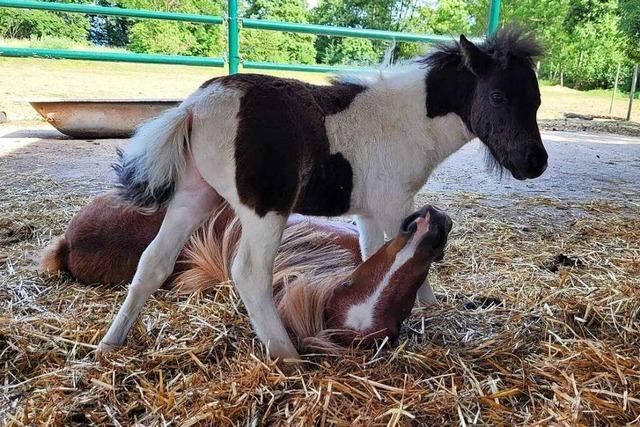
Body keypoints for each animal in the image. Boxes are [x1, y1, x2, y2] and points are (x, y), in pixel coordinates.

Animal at [102, 28, 548, 360]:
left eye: (538, 100)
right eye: (498, 96)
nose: (535, 163)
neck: (409, 120)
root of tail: (193, 107)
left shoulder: (368, 213)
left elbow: (375, 259)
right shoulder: (395, 207)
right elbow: (414, 262)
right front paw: (430, 311)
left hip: (194, 196)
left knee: (154, 261)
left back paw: (110, 343)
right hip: (265, 212)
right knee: (249, 274)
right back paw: (287, 355)